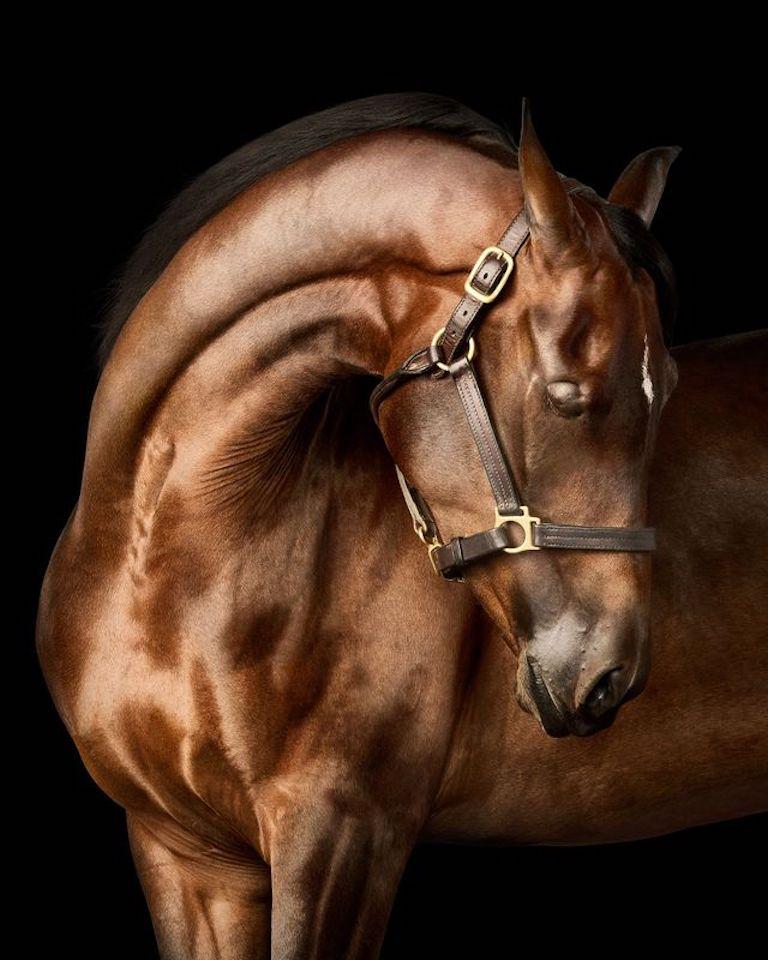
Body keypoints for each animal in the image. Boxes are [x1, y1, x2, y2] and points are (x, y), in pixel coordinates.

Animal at [36, 94, 768, 959]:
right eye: (567, 393)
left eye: (668, 393)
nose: (609, 677)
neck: (168, 561)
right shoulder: (185, 856)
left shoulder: (344, 840)